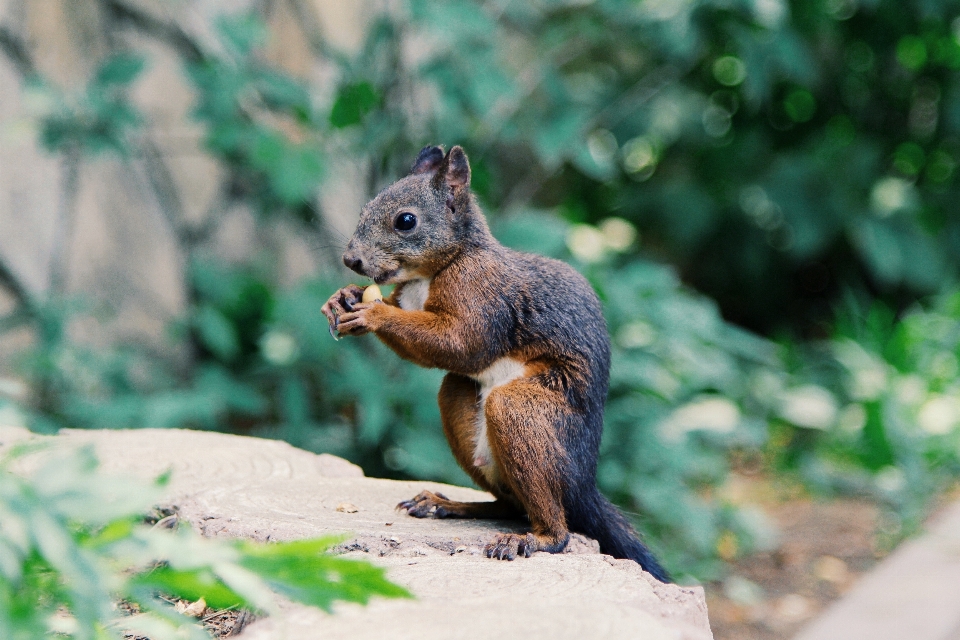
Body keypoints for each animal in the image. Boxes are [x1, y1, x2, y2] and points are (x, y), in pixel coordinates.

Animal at [320, 144, 668, 580]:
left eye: (406, 221)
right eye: (365, 207)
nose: (351, 260)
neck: (434, 271)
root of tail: (584, 485)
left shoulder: (482, 293)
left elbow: (462, 343)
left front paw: (373, 313)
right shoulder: (407, 296)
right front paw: (342, 297)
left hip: (527, 413)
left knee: (554, 525)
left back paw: (534, 539)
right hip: (461, 405)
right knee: (507, 503)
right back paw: (444, 504)